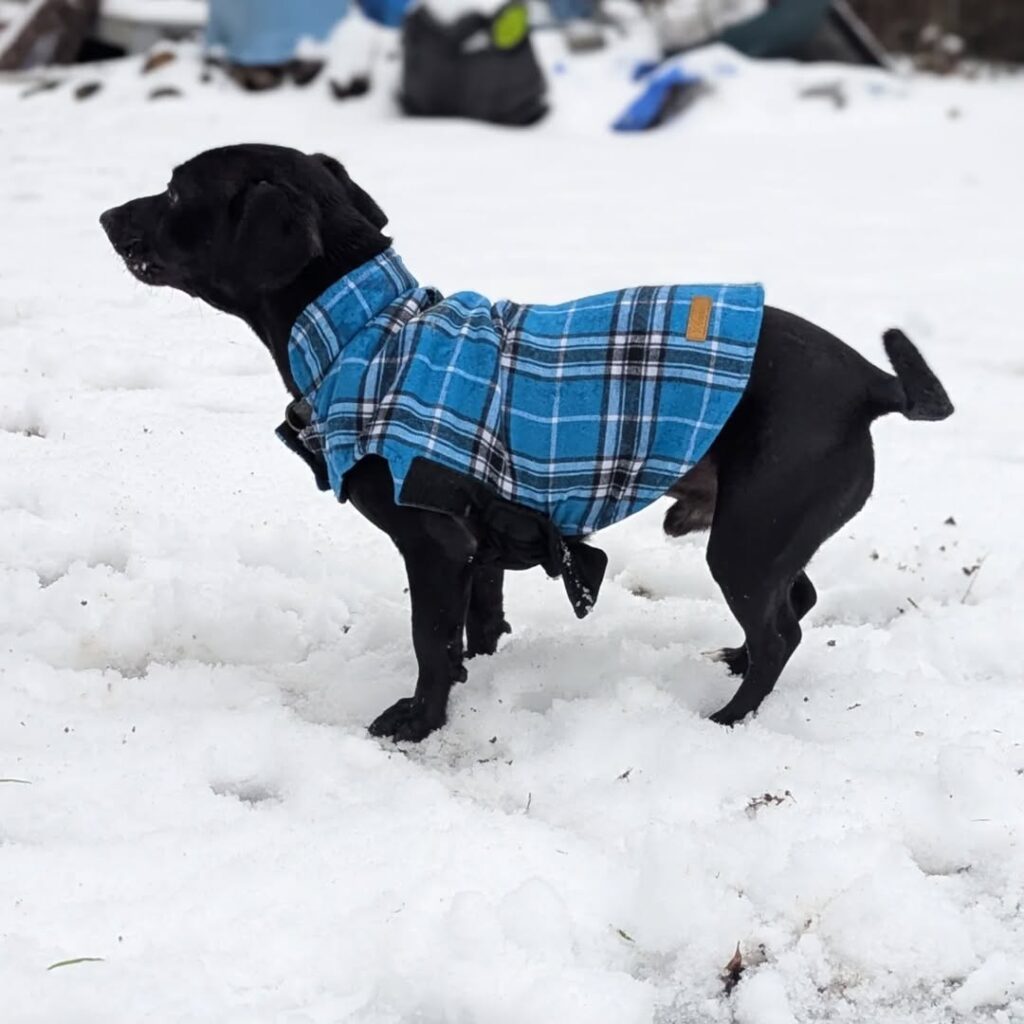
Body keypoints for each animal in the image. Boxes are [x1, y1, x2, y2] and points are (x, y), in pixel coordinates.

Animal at [99, 142, 954, 737]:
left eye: (175, 191)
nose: (106, 218)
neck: (366, 331)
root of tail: (871, 382)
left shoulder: (432, 544)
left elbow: (428, 638)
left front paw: (420, 722)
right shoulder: (478, 542)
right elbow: (476, 620)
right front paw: (474, 672)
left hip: (746, 539)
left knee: (782, 630)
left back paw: (730, 716)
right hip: (766, 532)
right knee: (796, 604)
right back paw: (735, 662)